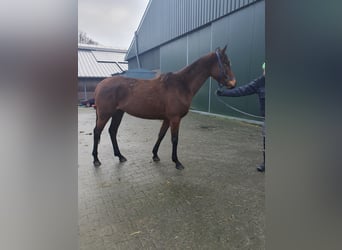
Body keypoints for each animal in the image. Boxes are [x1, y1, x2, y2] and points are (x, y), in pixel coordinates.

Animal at [91, 45, 235, 170]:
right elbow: (174, 139)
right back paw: (96, 160)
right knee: (97, 132)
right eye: (225, 63)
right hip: (105, 114)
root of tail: (99, 85)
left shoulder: (167, 119)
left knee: (112, 131)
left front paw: (155, 155)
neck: (181, 85)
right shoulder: (175, 118)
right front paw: (177, 162)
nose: (233, 83)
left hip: (118, 113)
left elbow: (161, 135)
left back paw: (120, 156)